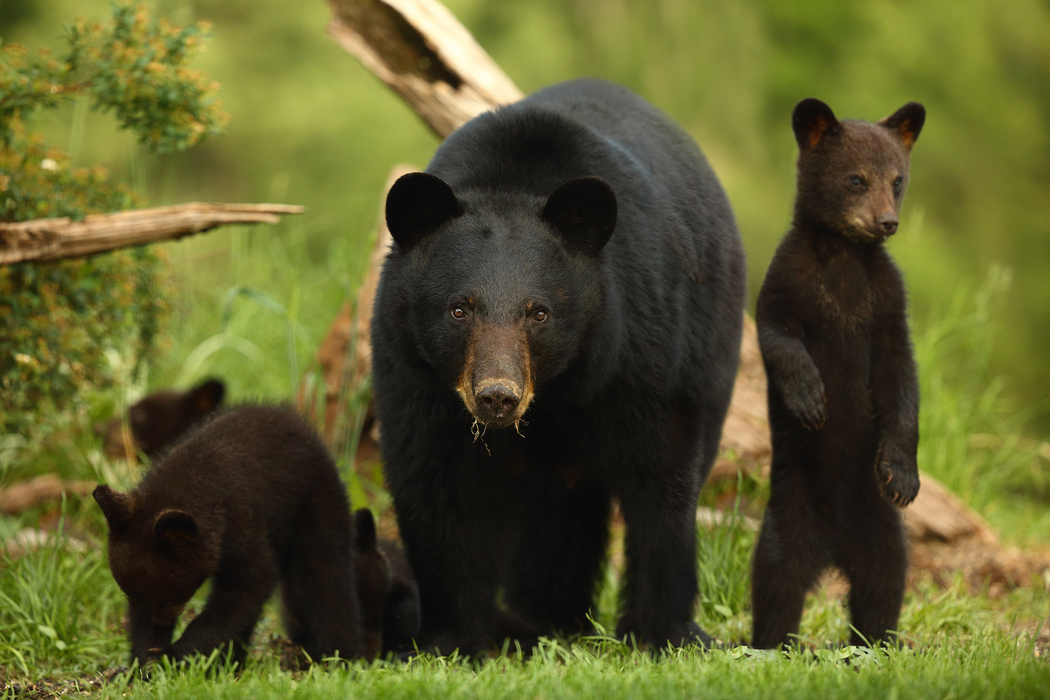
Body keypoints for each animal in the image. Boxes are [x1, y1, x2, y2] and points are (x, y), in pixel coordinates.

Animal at [94, 402, 365, 667]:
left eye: (169, 599)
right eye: (132, 596)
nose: (161, 622)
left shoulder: (242, 519)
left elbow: (249, 584)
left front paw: (174, 655)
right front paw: (143, 661)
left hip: (317, 504)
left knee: (327, 574)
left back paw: (341, 657)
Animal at [369, 76, 747, 650]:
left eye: (538, 312)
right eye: (459, 308)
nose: (497, 396)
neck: (554, 392)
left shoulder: (641, 350)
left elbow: (662, 474)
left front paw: (662, 633)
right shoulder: (415, 374)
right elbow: (436, 485)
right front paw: (451, 639)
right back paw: (545, 618)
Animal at [751, 99, 923, 650]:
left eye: (897, 179)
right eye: (855, 179)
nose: (887, 222)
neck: (845, 254)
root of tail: (833, 549)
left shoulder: (887, 301)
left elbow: (900, 378)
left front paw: (902, 475)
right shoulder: (787, 280)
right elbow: (778, 336)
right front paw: (811, 401)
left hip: (883, 528)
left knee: (884, 582)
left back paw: (873, 645)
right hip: (789, 513)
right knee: (777, 581)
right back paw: (773, 645)